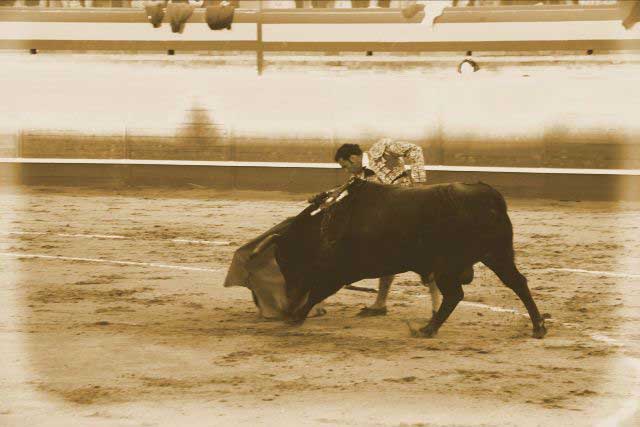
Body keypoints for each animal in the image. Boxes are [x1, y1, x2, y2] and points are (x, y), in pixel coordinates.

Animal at [224, 181, 544, 342]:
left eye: (288, 258)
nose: (288, 303)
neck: (326, 225)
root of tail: (491, 195)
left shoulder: (337, 272)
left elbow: (317, 292)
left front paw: (297, 316)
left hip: (453, 265)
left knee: (456, 294)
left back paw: (427, 329)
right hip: (496, 255)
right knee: (516, 283)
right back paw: (538, 326)